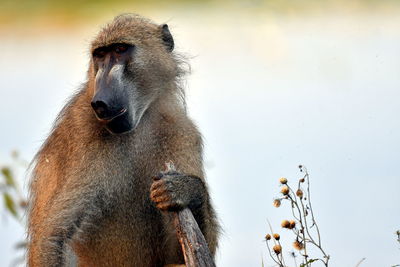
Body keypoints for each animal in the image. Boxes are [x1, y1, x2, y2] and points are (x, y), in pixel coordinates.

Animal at [26, 14, 220, 267]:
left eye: (120, 50)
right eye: (100, 55)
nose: (101, 102)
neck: (139, 124)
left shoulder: (182, 132)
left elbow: (180, 252)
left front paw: (186, 190)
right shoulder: (81, 132)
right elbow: (53, 237)